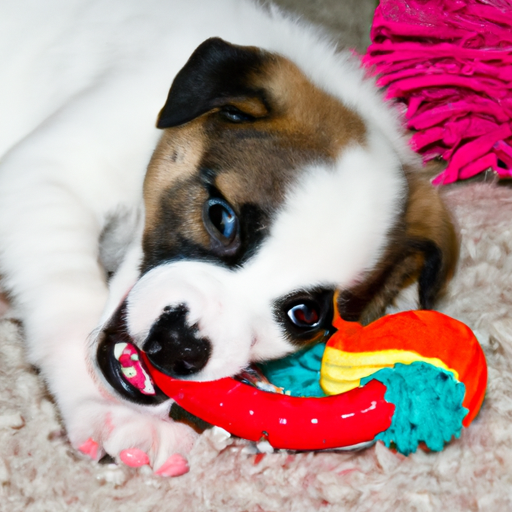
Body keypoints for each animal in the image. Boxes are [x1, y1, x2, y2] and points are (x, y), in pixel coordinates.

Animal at [0, 0, 456, 476]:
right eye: (221, 218)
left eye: (305, 314)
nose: (178, 347)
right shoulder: (42, 175)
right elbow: (68, 299)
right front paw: (108, 409)